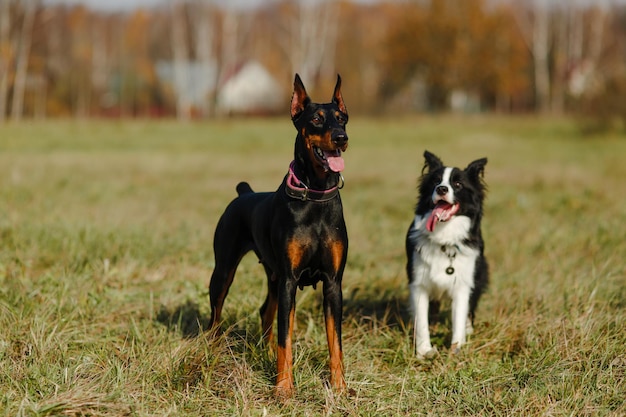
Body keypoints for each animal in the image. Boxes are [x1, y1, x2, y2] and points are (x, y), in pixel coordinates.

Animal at [208, 73, 346, 394]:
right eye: (317, 119)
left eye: (342, 119)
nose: (341, 138)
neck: (315, 197)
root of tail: (244, 193)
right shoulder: (289, 281)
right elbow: (287, 338)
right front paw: (284, 389)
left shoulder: (333, 283)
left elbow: (335, 342)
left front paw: (340, 388)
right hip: (224, 271)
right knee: (215, 317)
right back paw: (209, 352)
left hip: (272, 276)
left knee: (264, 312)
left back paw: (266, 354)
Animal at [404, 151, 488, 356]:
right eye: (435, 181)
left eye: (458, 184)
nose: (441, 189)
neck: (444, 237)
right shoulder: (419, 283)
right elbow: (422, 321)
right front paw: (424, 351)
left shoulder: (463, 283)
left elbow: (458, 318)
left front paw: (456, 350)